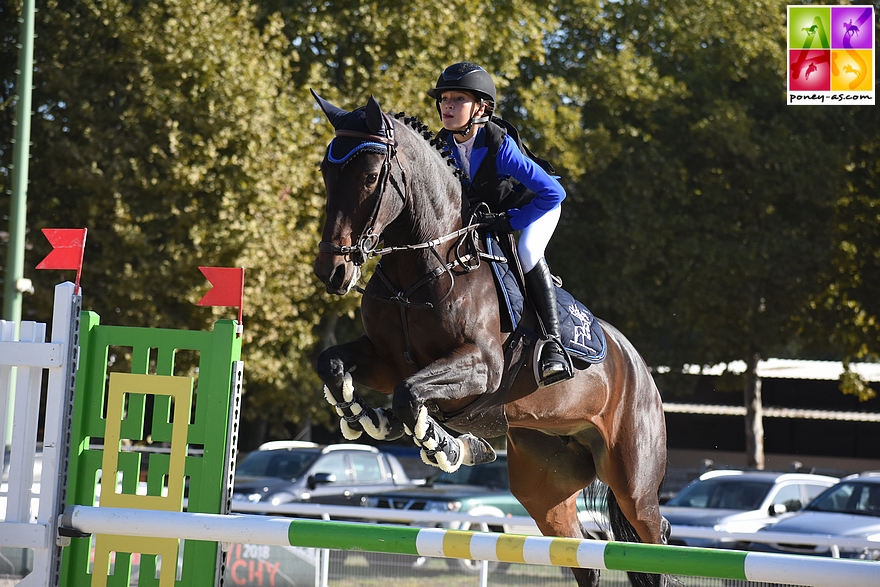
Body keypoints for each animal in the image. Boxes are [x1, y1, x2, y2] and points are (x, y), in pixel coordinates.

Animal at [310, 89, 668, 584]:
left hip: (634, 480)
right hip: (545, 480)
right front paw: (365, 417)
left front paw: (444, 445)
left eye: (368, 177)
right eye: (327, 172)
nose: (333, 272)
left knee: (652, 538)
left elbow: (409, 396)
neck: (423, 268)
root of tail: (640, 368)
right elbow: (334, 364)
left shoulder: (482, 367)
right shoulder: (385, 360)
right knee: (581, 551)